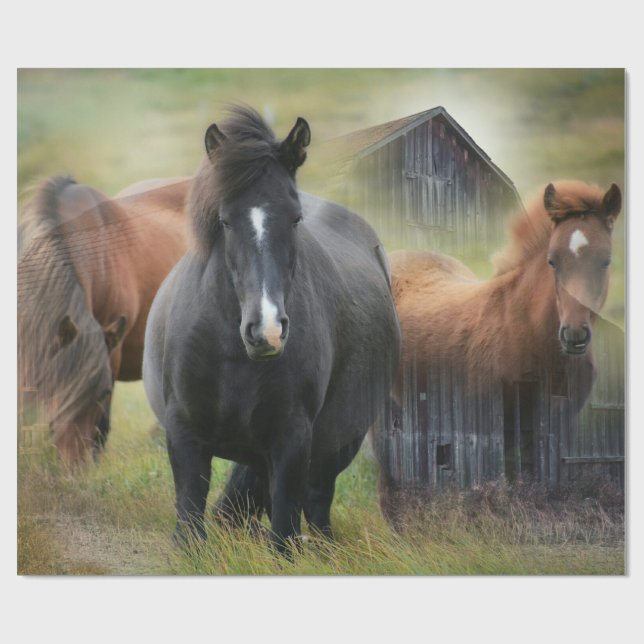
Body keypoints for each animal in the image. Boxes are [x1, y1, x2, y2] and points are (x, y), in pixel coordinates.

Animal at [143, 106, 401, 554]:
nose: (267, 331)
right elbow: (190, 519)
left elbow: (283, 532)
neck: (231, 354)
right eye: (225, 221)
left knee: (317, 502)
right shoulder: (184, 434)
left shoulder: (292, 440)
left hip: (338, 443)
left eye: (295, 219)